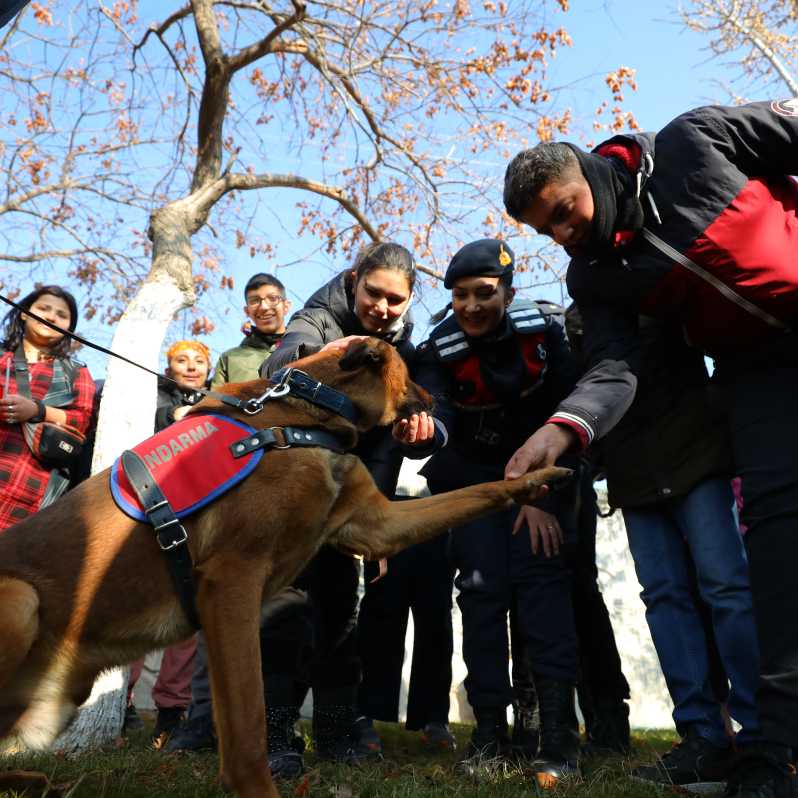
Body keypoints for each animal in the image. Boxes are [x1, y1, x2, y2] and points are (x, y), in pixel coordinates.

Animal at [0, 340, 568, 798]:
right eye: (409, 371)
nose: (436, 403)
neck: (309, 413)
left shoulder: (376, 526)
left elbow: (477, 492)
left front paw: (536, 475)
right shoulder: (232, 581)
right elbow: (249, 721)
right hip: (21, 601)